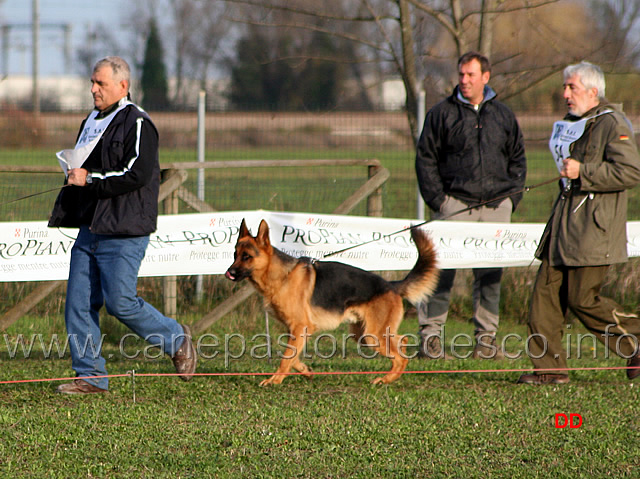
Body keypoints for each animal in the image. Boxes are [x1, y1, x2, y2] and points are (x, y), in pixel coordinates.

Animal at [222, 219, 438, 388]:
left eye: (247, 257)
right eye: (234, 255)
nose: (228, 273)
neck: (281, 275)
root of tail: (392, 285)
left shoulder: (300, 327)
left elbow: (286, 357)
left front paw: (274, 380)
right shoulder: (297, 330)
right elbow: (292, 356)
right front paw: (305, 370)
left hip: (373, 336)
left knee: (401, 355)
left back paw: (386, 380)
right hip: (364, 335)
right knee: (403, 341)